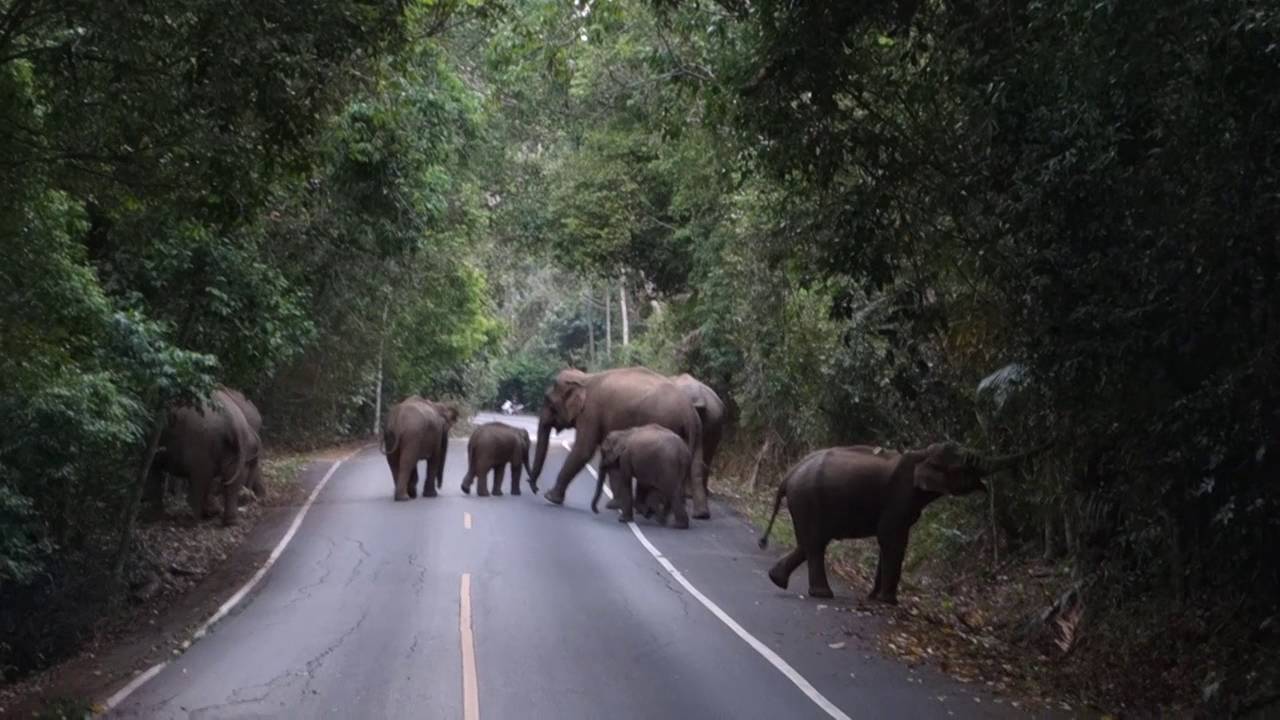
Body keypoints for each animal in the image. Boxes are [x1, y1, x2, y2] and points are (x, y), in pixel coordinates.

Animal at [145, 387, 261, 526]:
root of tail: (234, 421)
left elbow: (152, 470)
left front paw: (151, 518)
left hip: (201, 441)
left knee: (200, 478)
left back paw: (188, 521)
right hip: (232, 448)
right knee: (231, 479)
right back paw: (229, 521)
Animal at [529, 366, 709, 518]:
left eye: (549, 401)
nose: (535, 488)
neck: (584, 378)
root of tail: (688, 412)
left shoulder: (591, 412)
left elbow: (583, 450)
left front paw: (550, 497)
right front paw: (614, 505)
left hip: (667, 424)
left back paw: (652, 511)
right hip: (698, 430)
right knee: (697, 466)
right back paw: (699, 514)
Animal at [758, 442, 1035, 603]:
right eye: (967, 464)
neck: (921, 454)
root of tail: (789, 474)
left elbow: (887, 541)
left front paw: (873, 598)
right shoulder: (899, 498)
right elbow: (893, 539)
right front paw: (889, 602)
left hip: (805, 503)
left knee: (810, 543)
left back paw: (777, 579)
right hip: (808, 499)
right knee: (815, 544)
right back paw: (822, 594)